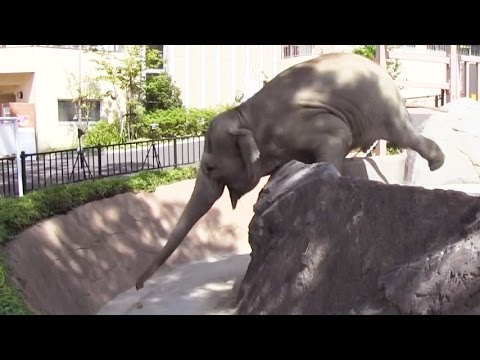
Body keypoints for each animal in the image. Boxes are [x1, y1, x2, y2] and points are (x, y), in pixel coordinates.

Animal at [134, 51, 442, 290]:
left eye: (210, 167)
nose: (138, 286)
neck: (245, 116)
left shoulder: (309, 126)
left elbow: (337, 139)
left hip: (385, 108)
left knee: (404, 135)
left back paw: (436, 162)